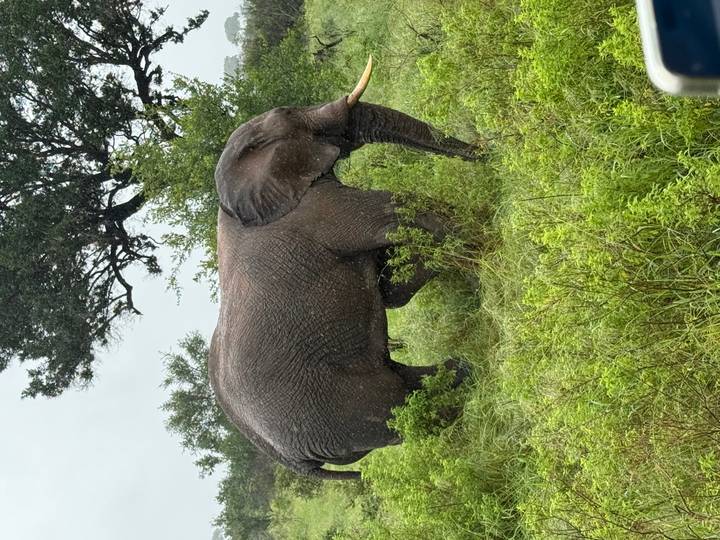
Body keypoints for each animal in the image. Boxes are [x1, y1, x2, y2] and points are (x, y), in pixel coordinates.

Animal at [208, 58, 479, 480]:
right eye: (291, 114)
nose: (487, 147)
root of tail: (291, 461)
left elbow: (391, 290)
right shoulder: (313, 211)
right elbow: (396, 209)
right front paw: (482, 242)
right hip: (326, 409)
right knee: (397, 407)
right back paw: (469, 375)